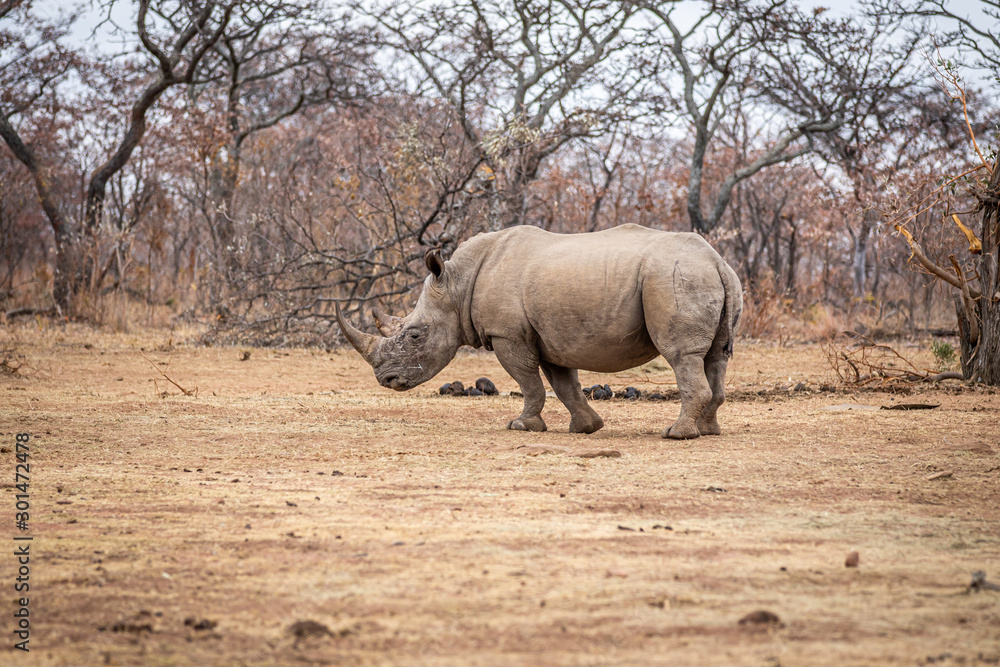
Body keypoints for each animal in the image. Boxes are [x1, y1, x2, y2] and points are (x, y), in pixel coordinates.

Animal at [335, 224, 742, 439]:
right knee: (715, 356)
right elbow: (564, 384)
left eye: (415, 336)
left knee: (682, 356)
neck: (456, 285)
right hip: (709, 278)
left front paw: (520, 426)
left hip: (673, 278)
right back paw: (709, 431)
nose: (386, 380)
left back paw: (677, 434)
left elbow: (529, 381)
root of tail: (716, 261)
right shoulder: (551, 336)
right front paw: (586, 428)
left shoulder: (507, 334)